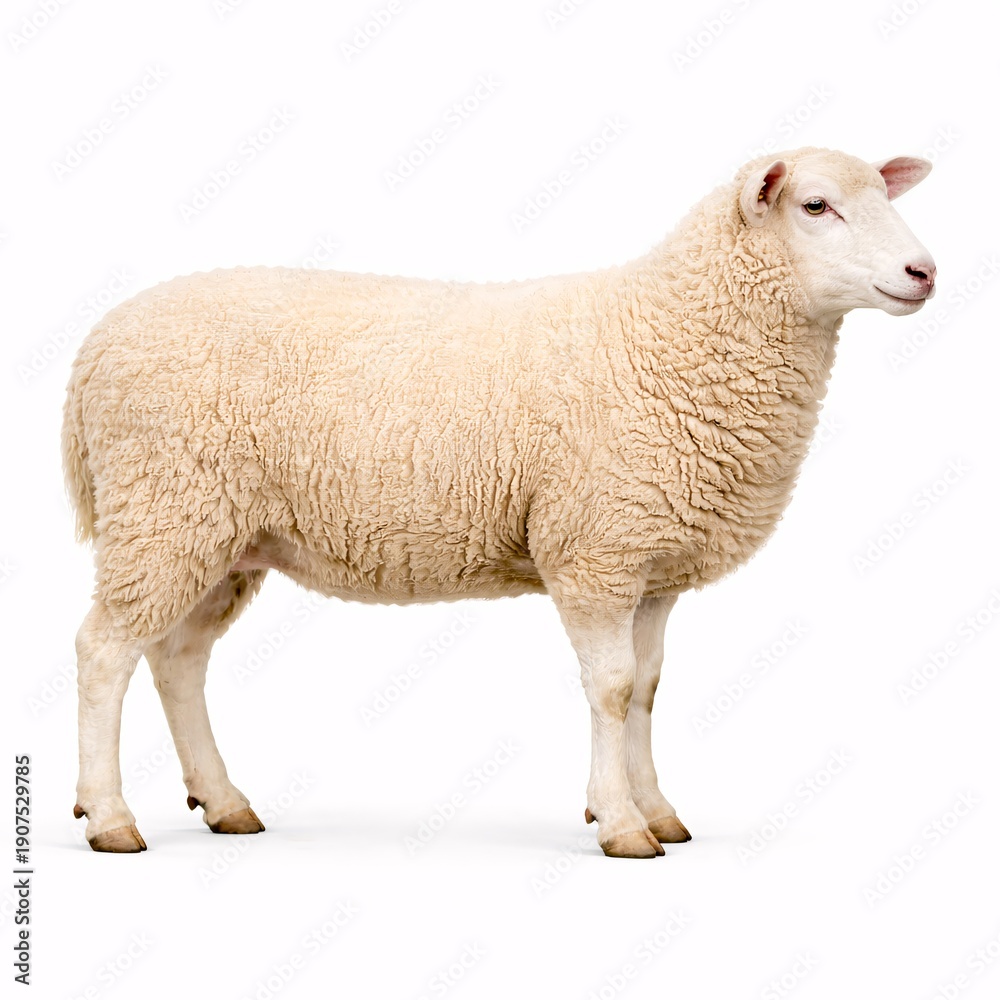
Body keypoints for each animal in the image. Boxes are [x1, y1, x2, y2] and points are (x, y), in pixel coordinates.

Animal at [63, 146, 935, 857]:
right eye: (816, 206)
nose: (924, 271)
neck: (670, 331)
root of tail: (97, 343)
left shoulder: (650, 563)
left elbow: (648, 690)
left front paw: (656, 810)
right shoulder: (593, 551)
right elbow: (612, 689)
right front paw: (620, 823)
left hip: (221, 535)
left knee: (177, 659)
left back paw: (223, 803)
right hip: (162, 508)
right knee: (104, 653)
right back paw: (110, 817)